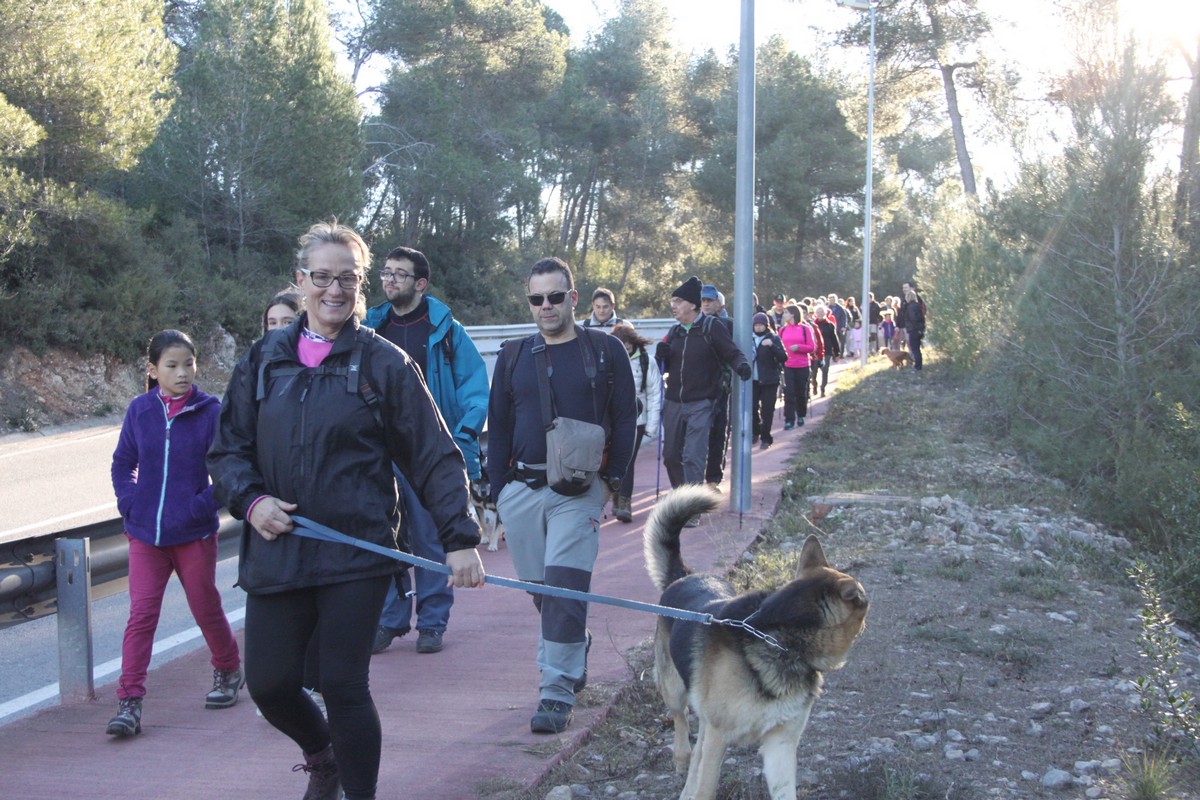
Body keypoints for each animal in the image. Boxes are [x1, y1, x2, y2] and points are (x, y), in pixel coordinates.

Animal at [643, 486, 869, 800]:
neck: (777, 638)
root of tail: (685, 576)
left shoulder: (780, 745)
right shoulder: (718, 738)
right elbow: (707, 785)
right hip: (674, 689)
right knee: (681, 721)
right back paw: (681, 755)